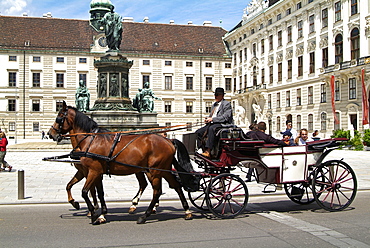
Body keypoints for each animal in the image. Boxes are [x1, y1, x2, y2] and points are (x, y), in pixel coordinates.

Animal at [49, 101, 197, 225]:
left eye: (59, 118)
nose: (50, 134)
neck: (91, 140)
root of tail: (168, 140)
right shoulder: (94, 172)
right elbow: (92, 191)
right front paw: (99, 213)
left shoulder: (93, 171)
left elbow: (85, 192)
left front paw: (93, 214)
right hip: (162, 170)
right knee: (176, 186)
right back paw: (186, 211)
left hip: (154, 171)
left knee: (157, 191)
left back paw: (144, 215)